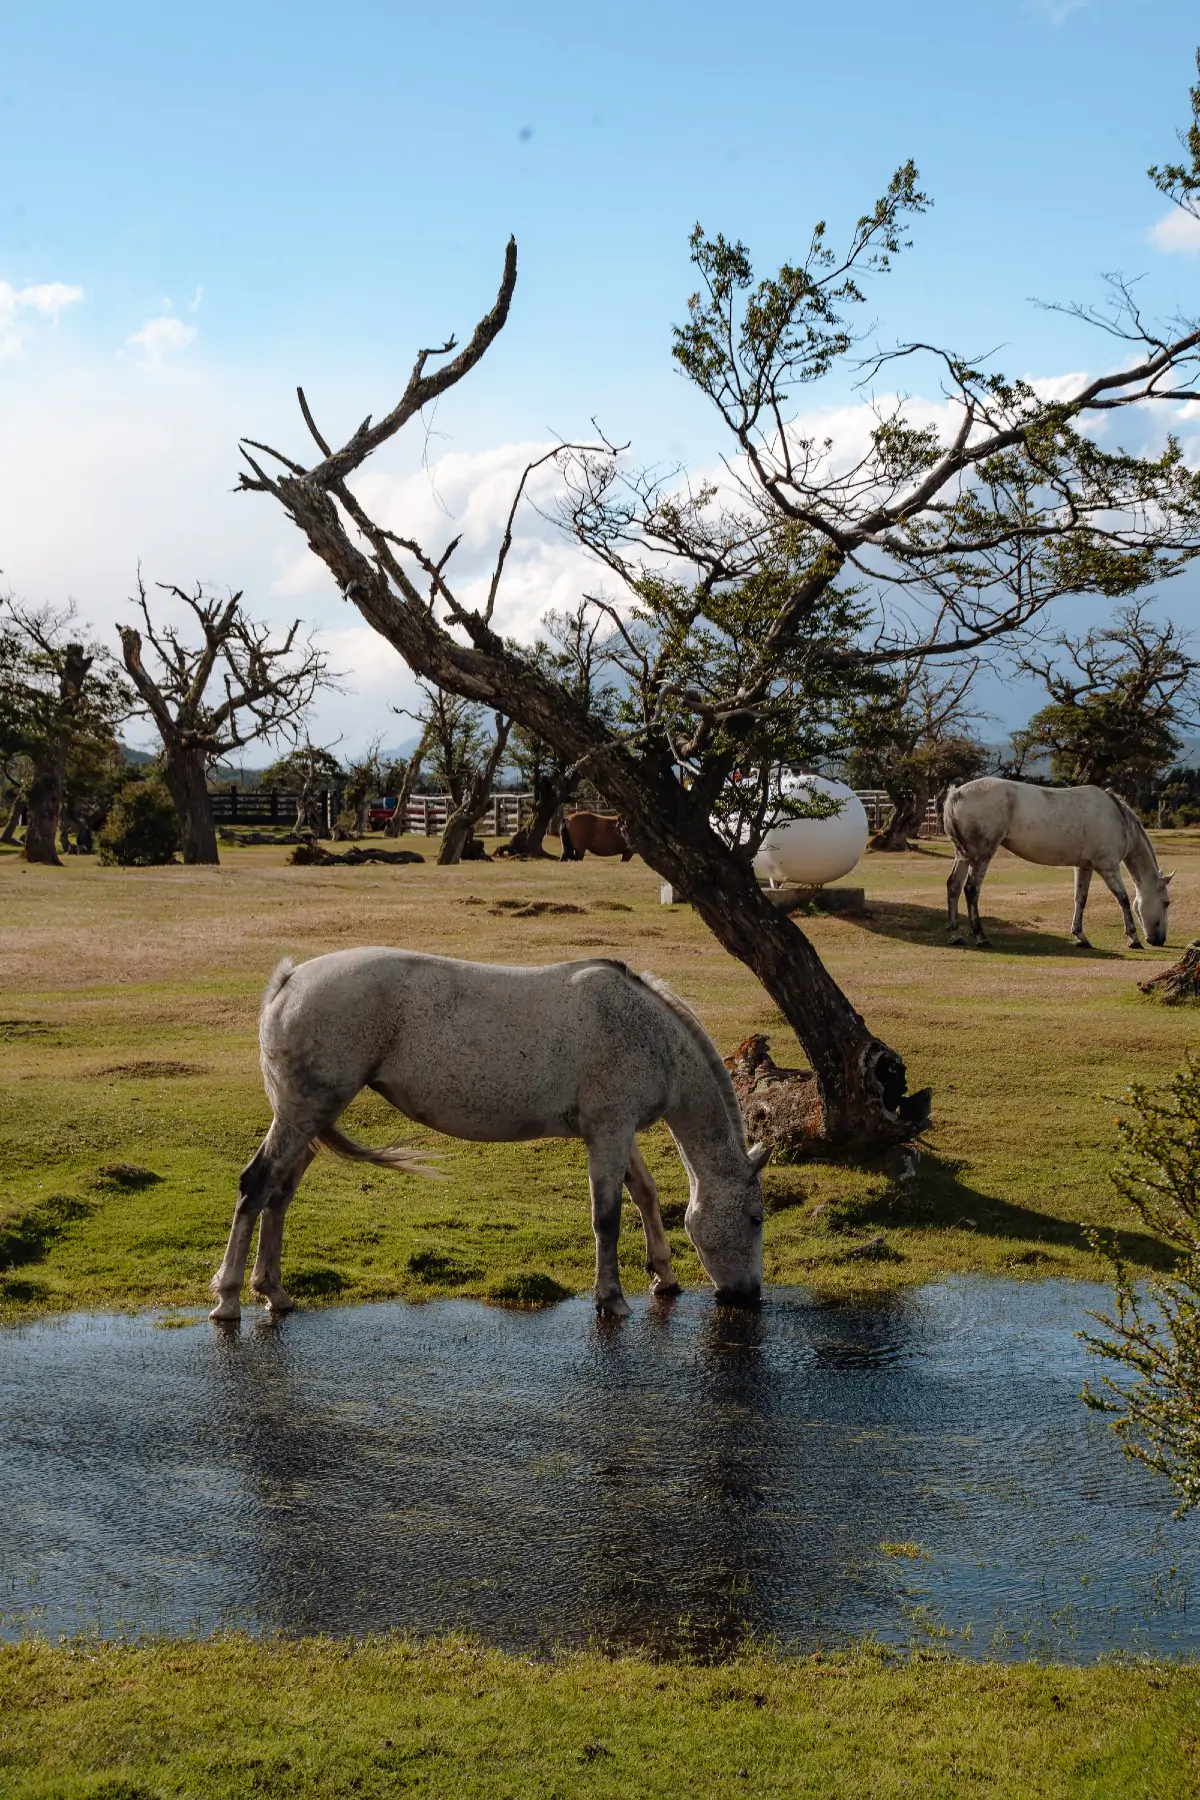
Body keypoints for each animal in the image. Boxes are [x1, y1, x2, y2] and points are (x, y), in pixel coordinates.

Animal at [208, 957, 770, 1324]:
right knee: (256, 1186)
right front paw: (611, 1299)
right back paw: (228, 1299)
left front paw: (663, 1276)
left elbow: (646, 1195)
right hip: (304, 1113)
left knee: (279, 1194)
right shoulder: (609, 1131)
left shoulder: (615, 1130)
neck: (649, 1035)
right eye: (755, 1218)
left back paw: (273, 1292)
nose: (747, 1296)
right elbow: (607, 1218)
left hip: (305, 1118)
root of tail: (290, 980)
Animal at [942, 777, 1165, 950]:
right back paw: (981, 937)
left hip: (963, 856)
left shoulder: (1084, 866)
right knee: (971, 889)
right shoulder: (1107, 867)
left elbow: (1080, 899)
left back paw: (955, 935)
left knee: (954, 886)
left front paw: (1080, 936)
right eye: (1166, 903)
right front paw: (1133, 938)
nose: (1159, 940)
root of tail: (956, 794)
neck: (1117, 817)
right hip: (981, 857)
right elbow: (1123, 899)